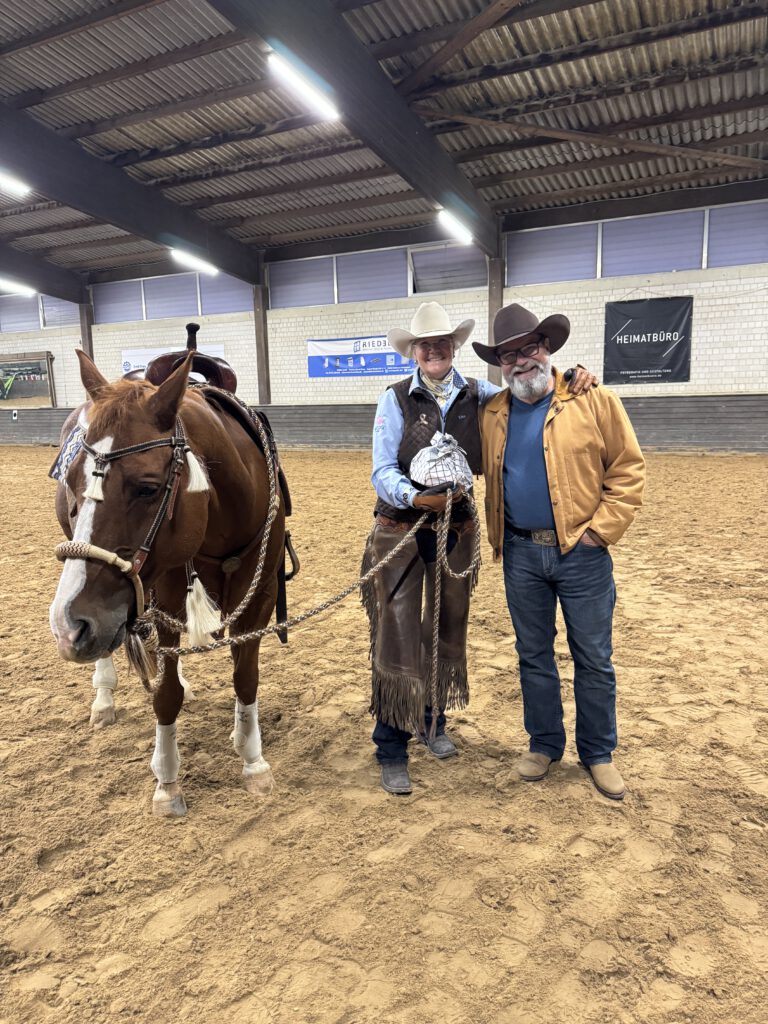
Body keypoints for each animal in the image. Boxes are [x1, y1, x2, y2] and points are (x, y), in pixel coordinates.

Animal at [49, 349, 286, 817]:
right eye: (71, 483)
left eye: (147, 488)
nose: (68, 625)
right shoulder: (164, 598)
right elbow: (166, 693)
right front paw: (167, 781)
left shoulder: (261, 595)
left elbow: (245, 676)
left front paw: (251, 758)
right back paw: (103, 699)